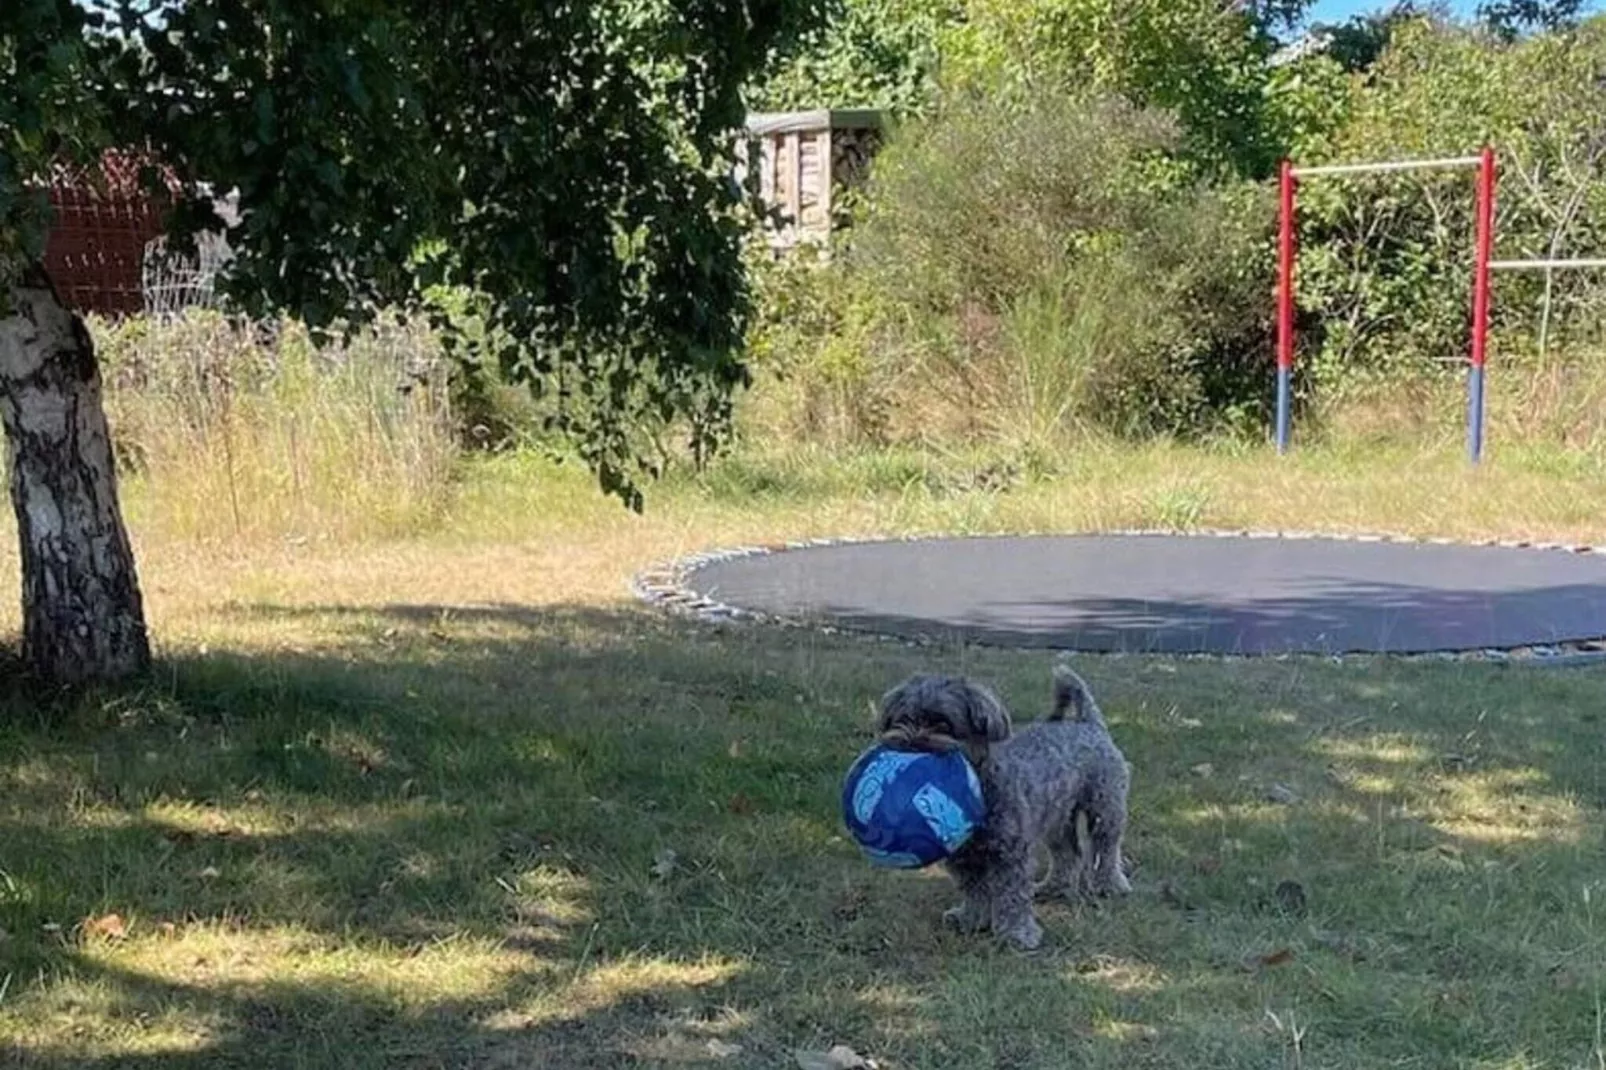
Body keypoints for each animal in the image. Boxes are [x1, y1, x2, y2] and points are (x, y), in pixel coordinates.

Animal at [873, 661, 1137, 944]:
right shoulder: (963, 858)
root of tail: (1089, 723)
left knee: (1106, 848)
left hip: (1104, 810)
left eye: (943, 723)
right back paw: (1054, 886)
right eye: (904, 719)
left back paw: (1110, 884)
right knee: (1068, 855)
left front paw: (1016, 932)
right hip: (1057, 820)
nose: (908, 743)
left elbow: (1012, 895)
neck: (979, 790)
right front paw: (971, 919)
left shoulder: (1011, 855)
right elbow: (974, 890)